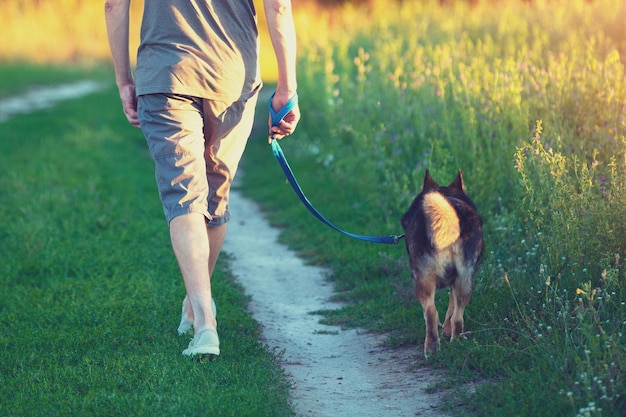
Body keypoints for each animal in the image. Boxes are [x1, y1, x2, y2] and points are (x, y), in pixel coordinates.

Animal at [400, 167, 482, 356]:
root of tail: (449, 220)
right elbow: (451, 309)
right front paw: (446, 331)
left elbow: (449, 309)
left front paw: (445, 331)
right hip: (464, 279)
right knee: (452, 315)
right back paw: (451, 342)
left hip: (430, 279)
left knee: (434, 312)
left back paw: (435, 346)